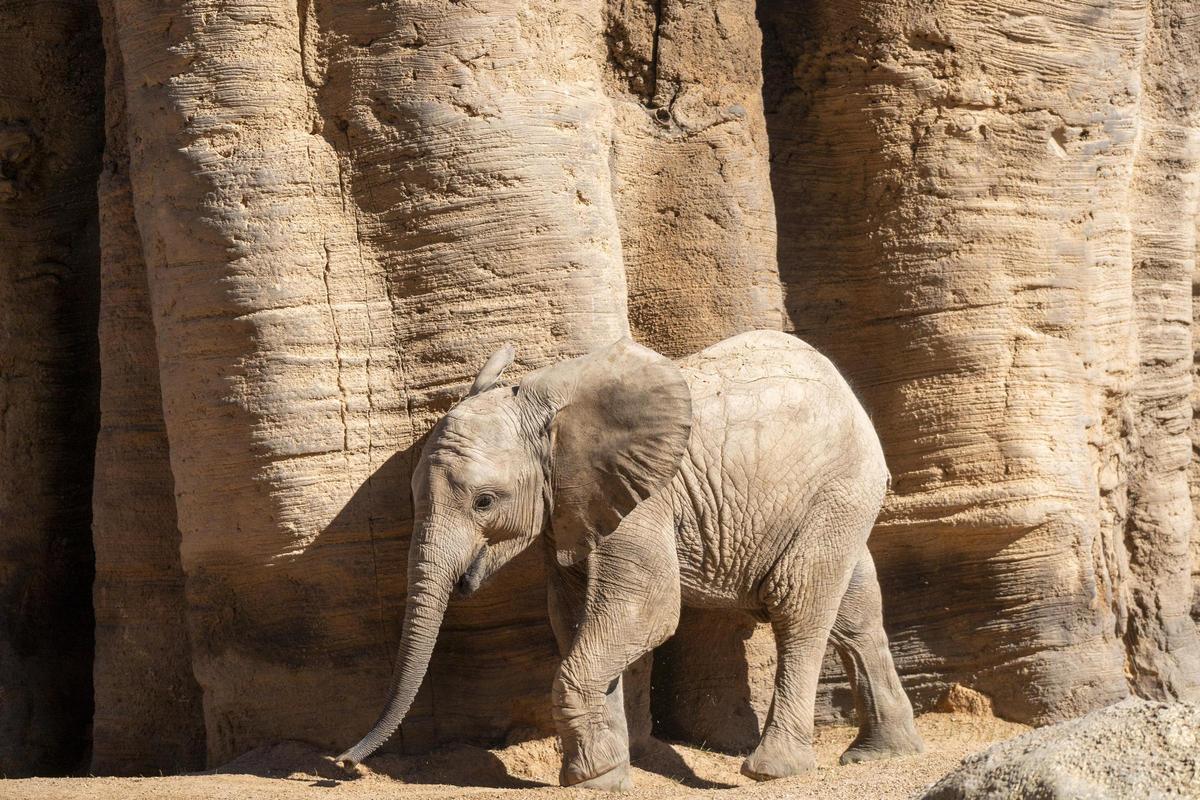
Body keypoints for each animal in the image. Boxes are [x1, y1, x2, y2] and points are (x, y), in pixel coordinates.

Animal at [338, 331, 926, 786]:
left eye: (485, 502)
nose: (343, 764)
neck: (544, 407)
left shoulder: (642, 499)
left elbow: (646, 610)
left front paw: (591, 778)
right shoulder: (572, 504)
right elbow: (575, 618)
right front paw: (606, 775)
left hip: (837, 490)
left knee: (797, 606)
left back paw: (773, 770)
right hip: (837, 500)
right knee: (855, 611)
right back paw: (880, 754)